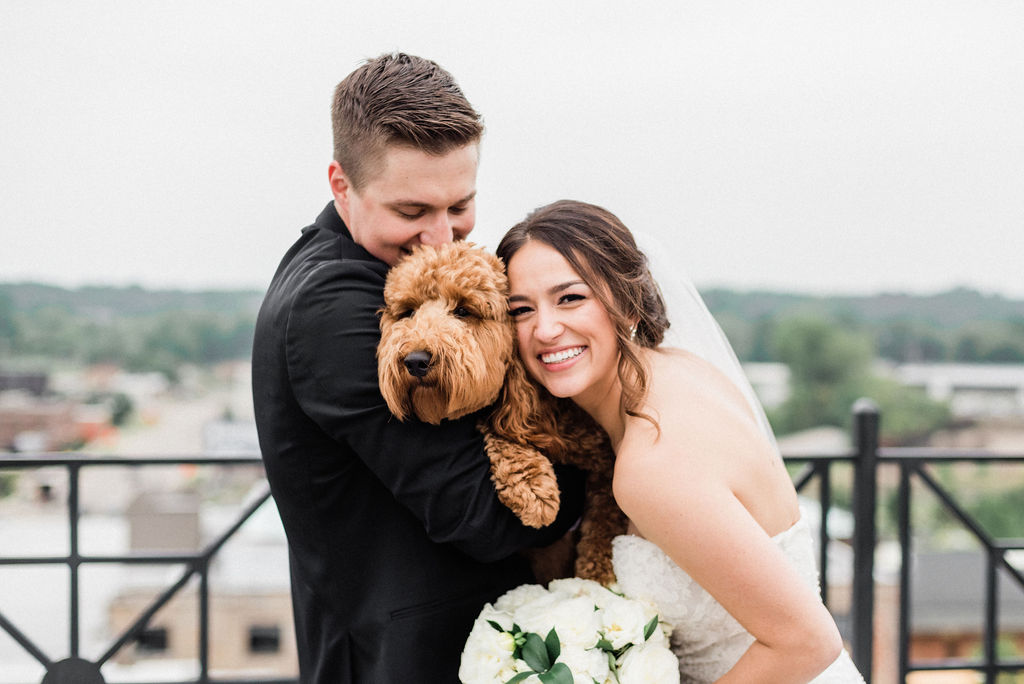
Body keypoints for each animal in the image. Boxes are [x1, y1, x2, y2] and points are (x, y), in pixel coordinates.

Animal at [376, 240, 622, 581]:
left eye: (463, 310)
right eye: (408, 312)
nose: (415, 360)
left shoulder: (605, 463)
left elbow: (605, 521)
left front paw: (598, 572)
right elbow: (499, 431)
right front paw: (532, 488)